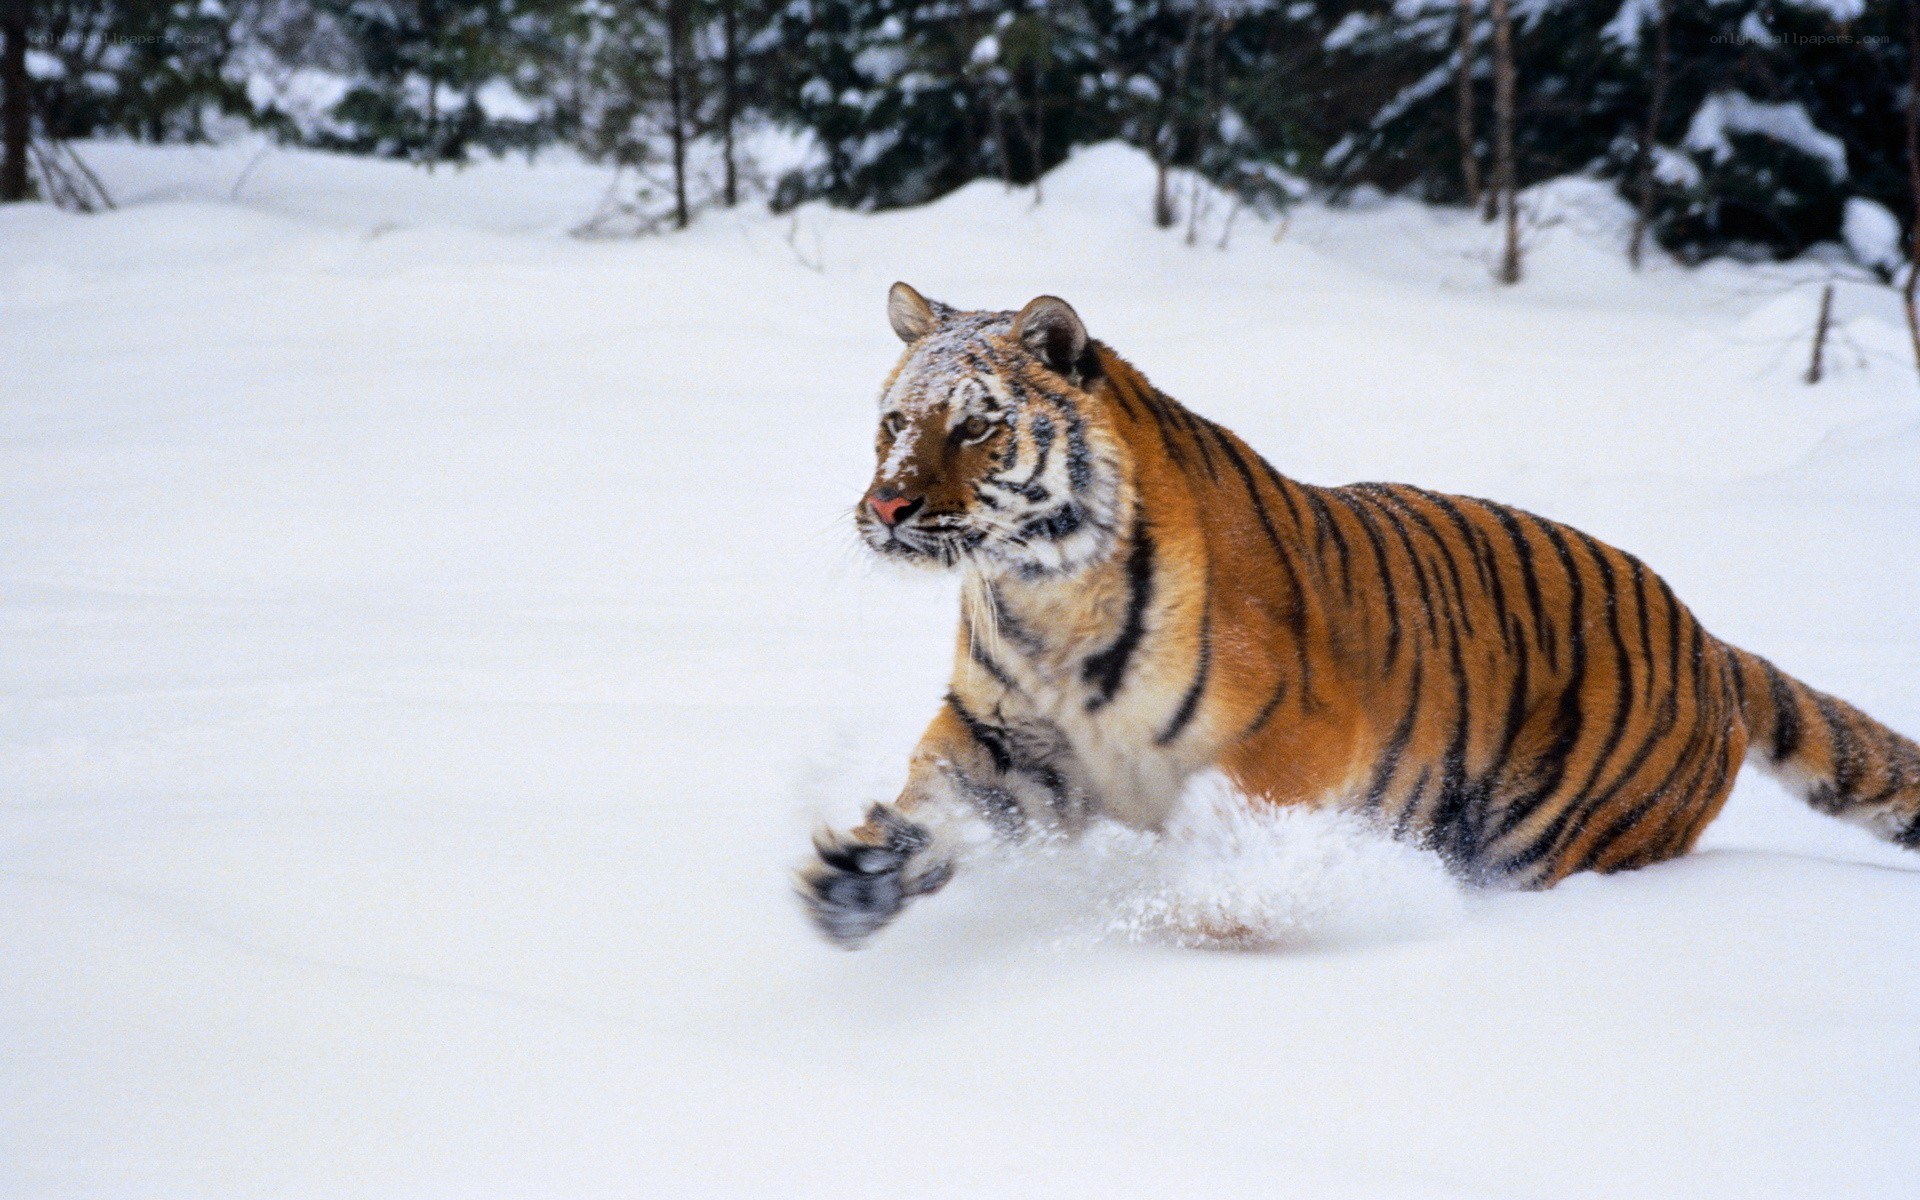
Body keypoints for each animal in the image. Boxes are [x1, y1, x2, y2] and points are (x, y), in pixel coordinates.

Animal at [796, 282, 1920, 948]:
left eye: (976, 427)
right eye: (896, 422)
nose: (886, 506)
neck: (1040, 589)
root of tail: (1712, 644)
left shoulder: (1289, 742)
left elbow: (1229, 839)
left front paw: (1196, 916)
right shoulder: (1003, 735)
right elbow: (940, 805)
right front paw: (858, 879)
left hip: (1554, 837)